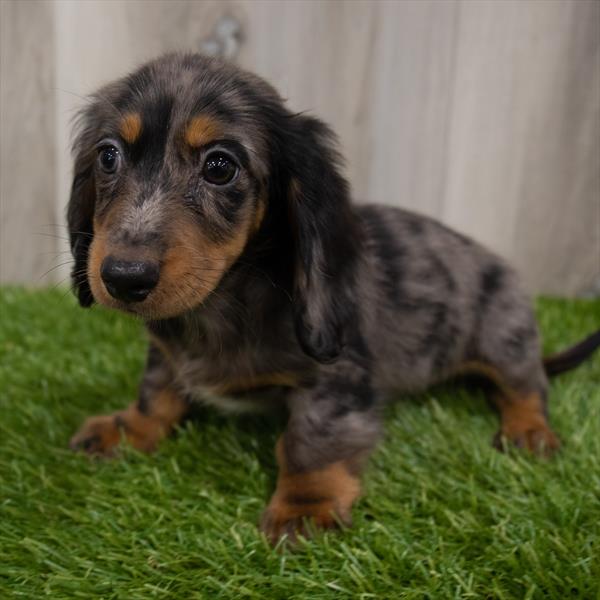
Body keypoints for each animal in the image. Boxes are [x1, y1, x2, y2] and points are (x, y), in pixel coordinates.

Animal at [67, 54, 600, 548]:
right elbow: (157, 391)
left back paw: (528, 428)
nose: (123, 277)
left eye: (220, 166)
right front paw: (129, 428)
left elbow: (310, 441)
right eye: (108, 156)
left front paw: (306, 504)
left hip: (504, 335)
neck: (225, 300)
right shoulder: (166, 350)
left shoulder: (336, 377)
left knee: (526, 387)